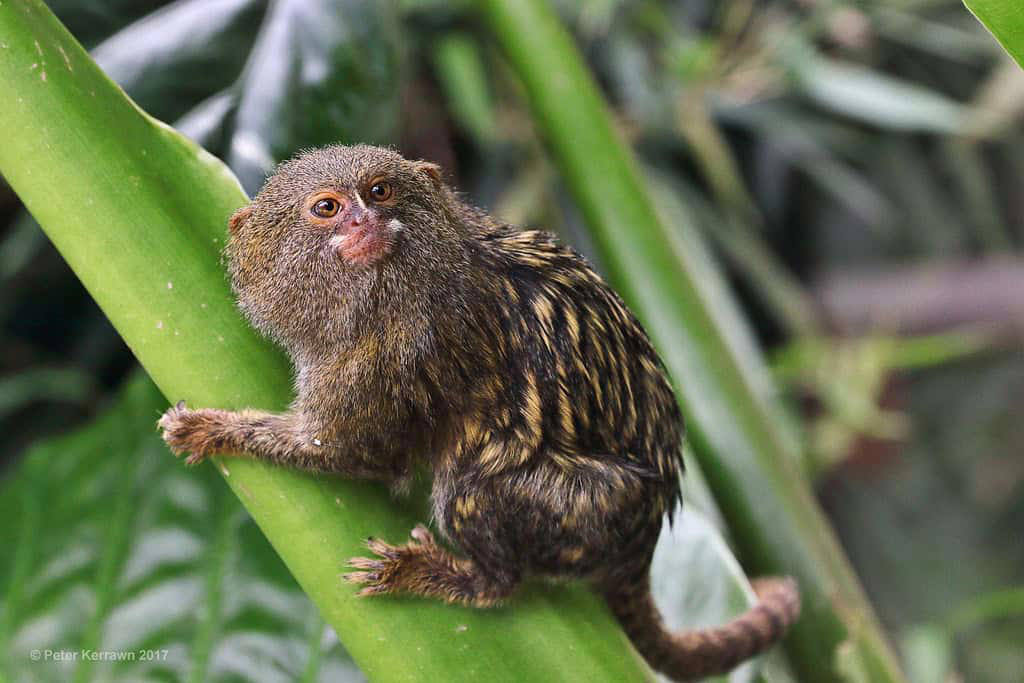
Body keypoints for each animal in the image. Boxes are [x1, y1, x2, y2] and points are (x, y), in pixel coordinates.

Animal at [158, 144, 800, 681]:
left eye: (380, 191)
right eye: (327, 208)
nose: (364, 222)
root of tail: (644, 538)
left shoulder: (392, 357)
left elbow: (351, 453)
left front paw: (213, 429)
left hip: (590, 507)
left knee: (474, 493)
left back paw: (460, 577)